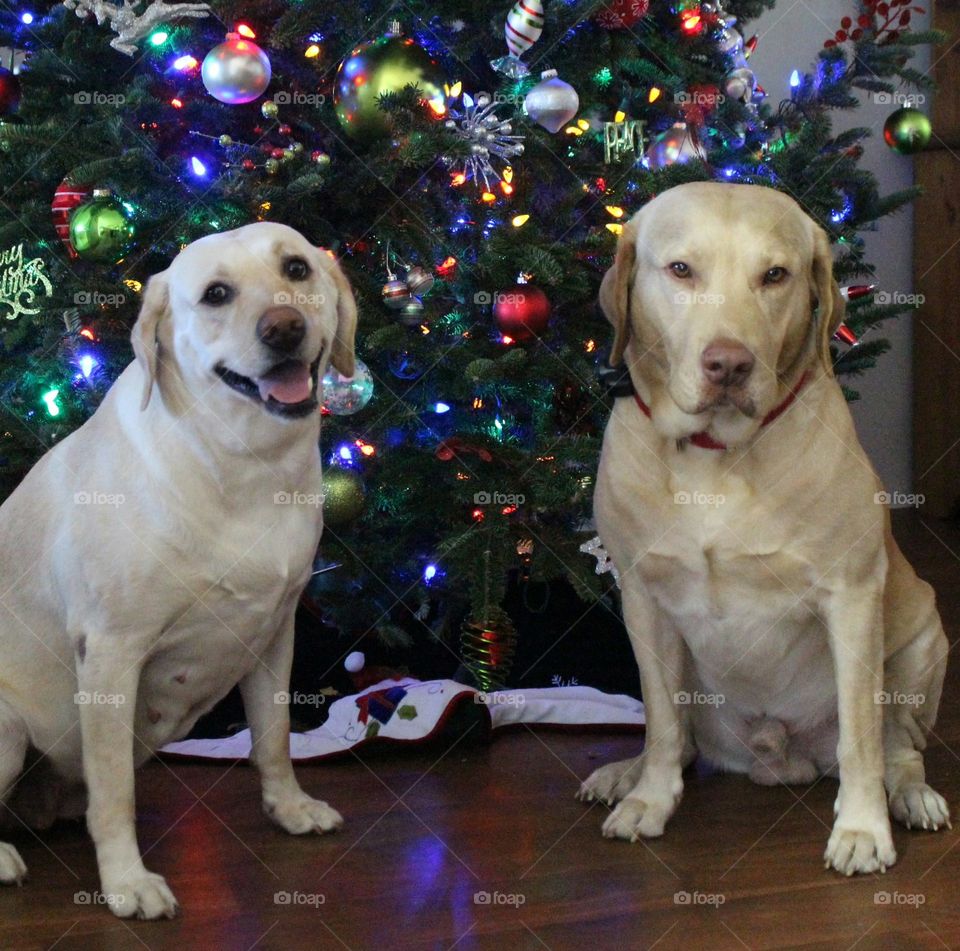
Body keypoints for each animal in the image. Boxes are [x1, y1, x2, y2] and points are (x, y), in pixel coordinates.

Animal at [0, 221, 356, 916]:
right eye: (216, 293)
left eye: (296, 269)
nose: (283, 327)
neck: (244, 464)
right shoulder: (111, 652)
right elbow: (115, 790)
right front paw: (126, 881)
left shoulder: (275, 633)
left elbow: (273, 735)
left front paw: (289, 807)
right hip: (5, 729)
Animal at [580, 182, 948, 872]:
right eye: (680, 269)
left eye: (775, 276)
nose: (729, 364)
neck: (715, 455)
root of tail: (781, 756)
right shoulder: (641, 598)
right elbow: (661, 720)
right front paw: (649, 800)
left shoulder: (853, 596)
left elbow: (862, 736)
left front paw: (862, 828)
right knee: (678, 735)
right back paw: (626, 774)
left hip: (923, 643)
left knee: (899, 749)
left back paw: (911, 798)